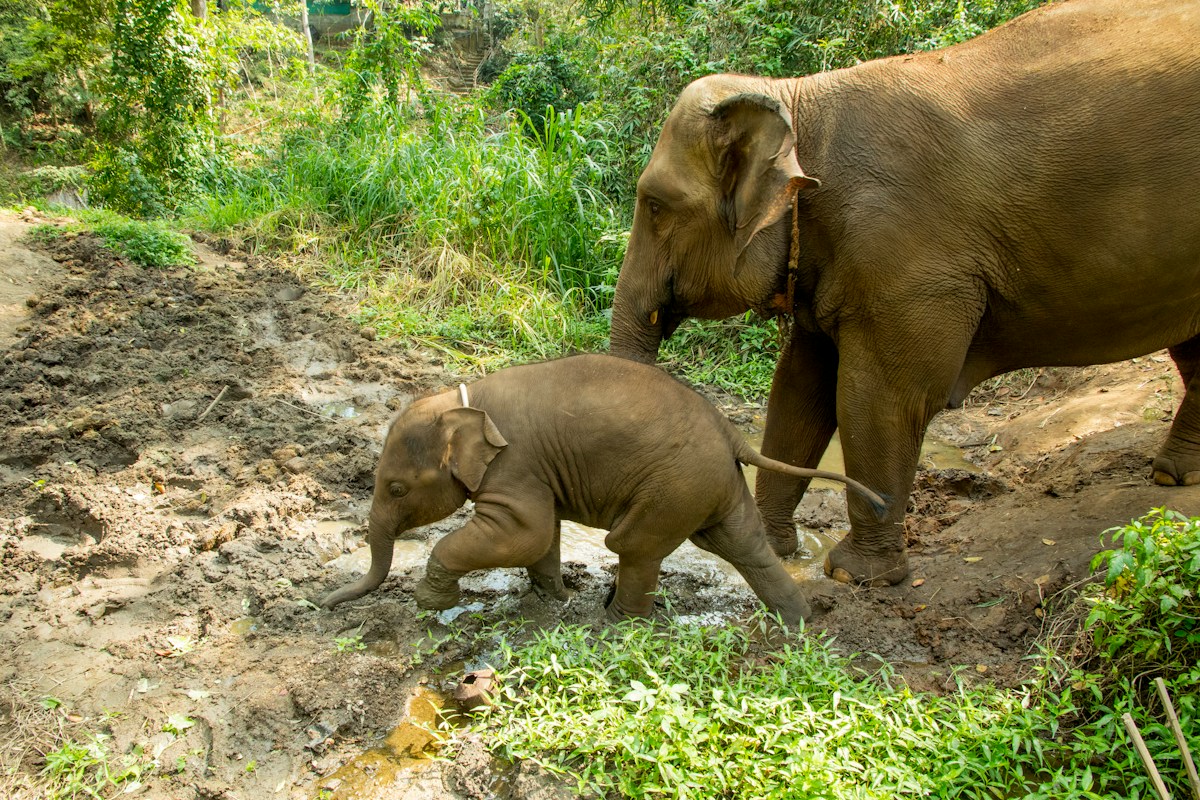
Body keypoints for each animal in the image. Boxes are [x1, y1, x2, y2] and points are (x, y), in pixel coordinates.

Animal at [319, 354, 884, 624]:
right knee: (742, 544)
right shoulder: (534, 473)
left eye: (395, 489)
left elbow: (523, 531)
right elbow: (539, 535)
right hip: (710, 485)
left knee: (633, 545)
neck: (461, 399)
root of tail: (732, 433)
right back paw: (799, 625)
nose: (322, 603)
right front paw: (551, 599)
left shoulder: (514, 467)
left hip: (675, 485)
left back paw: (613, 625)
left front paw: (429, 603)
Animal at [608, 0, 1200, 587]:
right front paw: (775, 551)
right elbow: (799, 387)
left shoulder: (906, 255)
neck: (797, 101)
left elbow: (881, 396)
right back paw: (1174, 476)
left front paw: (854, 575)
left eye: (655, 206)